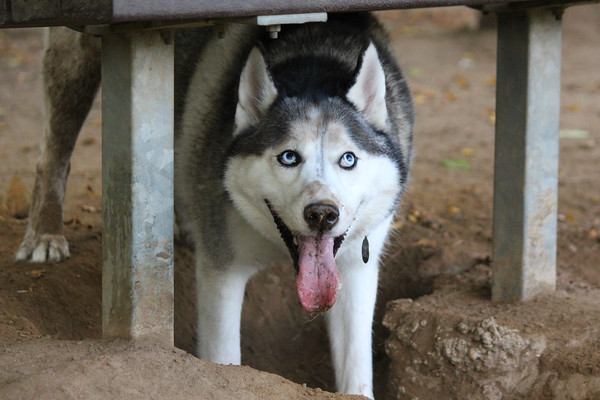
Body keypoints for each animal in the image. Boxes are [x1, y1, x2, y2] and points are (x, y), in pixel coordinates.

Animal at [17, 12, 412, 400]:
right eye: (288, 157)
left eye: (348, 159)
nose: (322, 214)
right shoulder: (223, 271)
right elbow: (224, 358)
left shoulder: (356, 269)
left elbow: (356, 371)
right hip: (75, 65)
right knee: (53, 154)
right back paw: (43, 235)